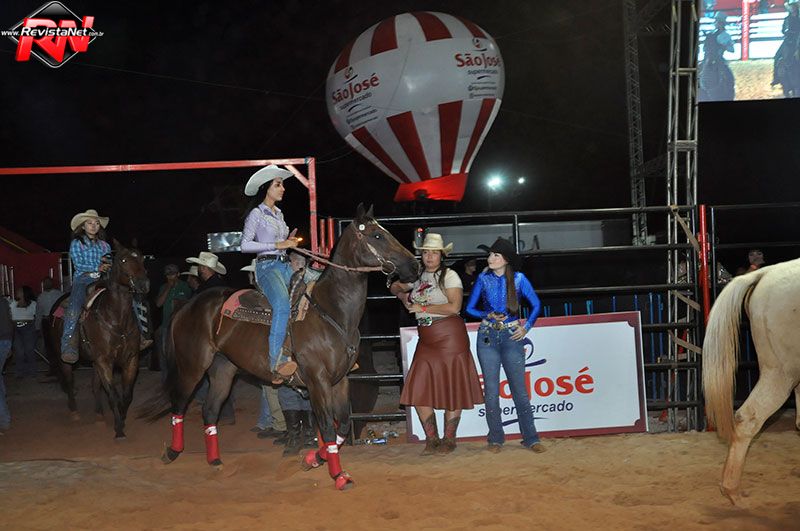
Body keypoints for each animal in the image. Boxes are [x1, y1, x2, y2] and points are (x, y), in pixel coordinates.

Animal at [44, 241, 150, 439]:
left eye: (141, 258)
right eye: (123, 260)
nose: (143, 284)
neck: (116, 319)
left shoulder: (131, 359)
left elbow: (127, 395)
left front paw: (122, 417)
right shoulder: (104, 361)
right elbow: (113, 394)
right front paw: (119, 429)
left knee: (94, 386)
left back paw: (99, 415)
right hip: (65, 359)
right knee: (69, 381)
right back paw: (74, 412)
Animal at [142, 205, 419, 490]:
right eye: (377, 235)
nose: (414, 265)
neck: (331, 311)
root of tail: (188, 305)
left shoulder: (340, 380)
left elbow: (341, 425)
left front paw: (312, 459)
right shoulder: (317, 381)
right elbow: (327, 427)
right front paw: (338, 475)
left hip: (223, 369)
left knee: (210, 410)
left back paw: (215, 461)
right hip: (192, 366)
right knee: (178, 404)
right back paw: (172, 452)